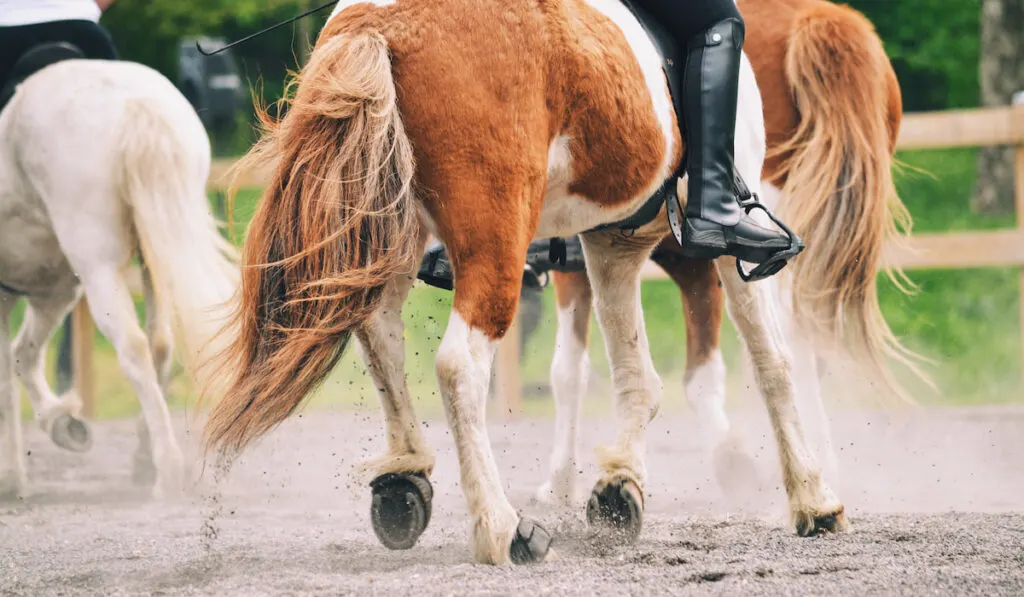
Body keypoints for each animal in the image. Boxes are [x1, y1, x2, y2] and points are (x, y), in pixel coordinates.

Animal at [0, 59, 237, 499]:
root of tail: (134, 104)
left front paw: (11, 476)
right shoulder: (52, 289)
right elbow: (20, 355)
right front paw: (61, 426)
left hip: (99, 270)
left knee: (134, 347)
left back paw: (167, 469)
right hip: (150, 255)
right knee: (158, 344)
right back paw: (144, 458)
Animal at [201, 0, 847, 565]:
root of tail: (379, 20)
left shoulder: (613, 243)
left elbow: (637, 375)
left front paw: (620, 488)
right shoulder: (719, 251)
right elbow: (772, 363)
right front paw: (814, 501)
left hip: (392, 229)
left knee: (380, 338)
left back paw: (404, 477)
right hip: (496, 233)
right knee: (459, 366)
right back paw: (503, 528)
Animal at [532, 0, 917, 507]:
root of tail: (815, 18)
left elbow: (569, 372)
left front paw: (559, 482)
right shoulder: (688, 261)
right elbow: (696, 371)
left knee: (790, 337)